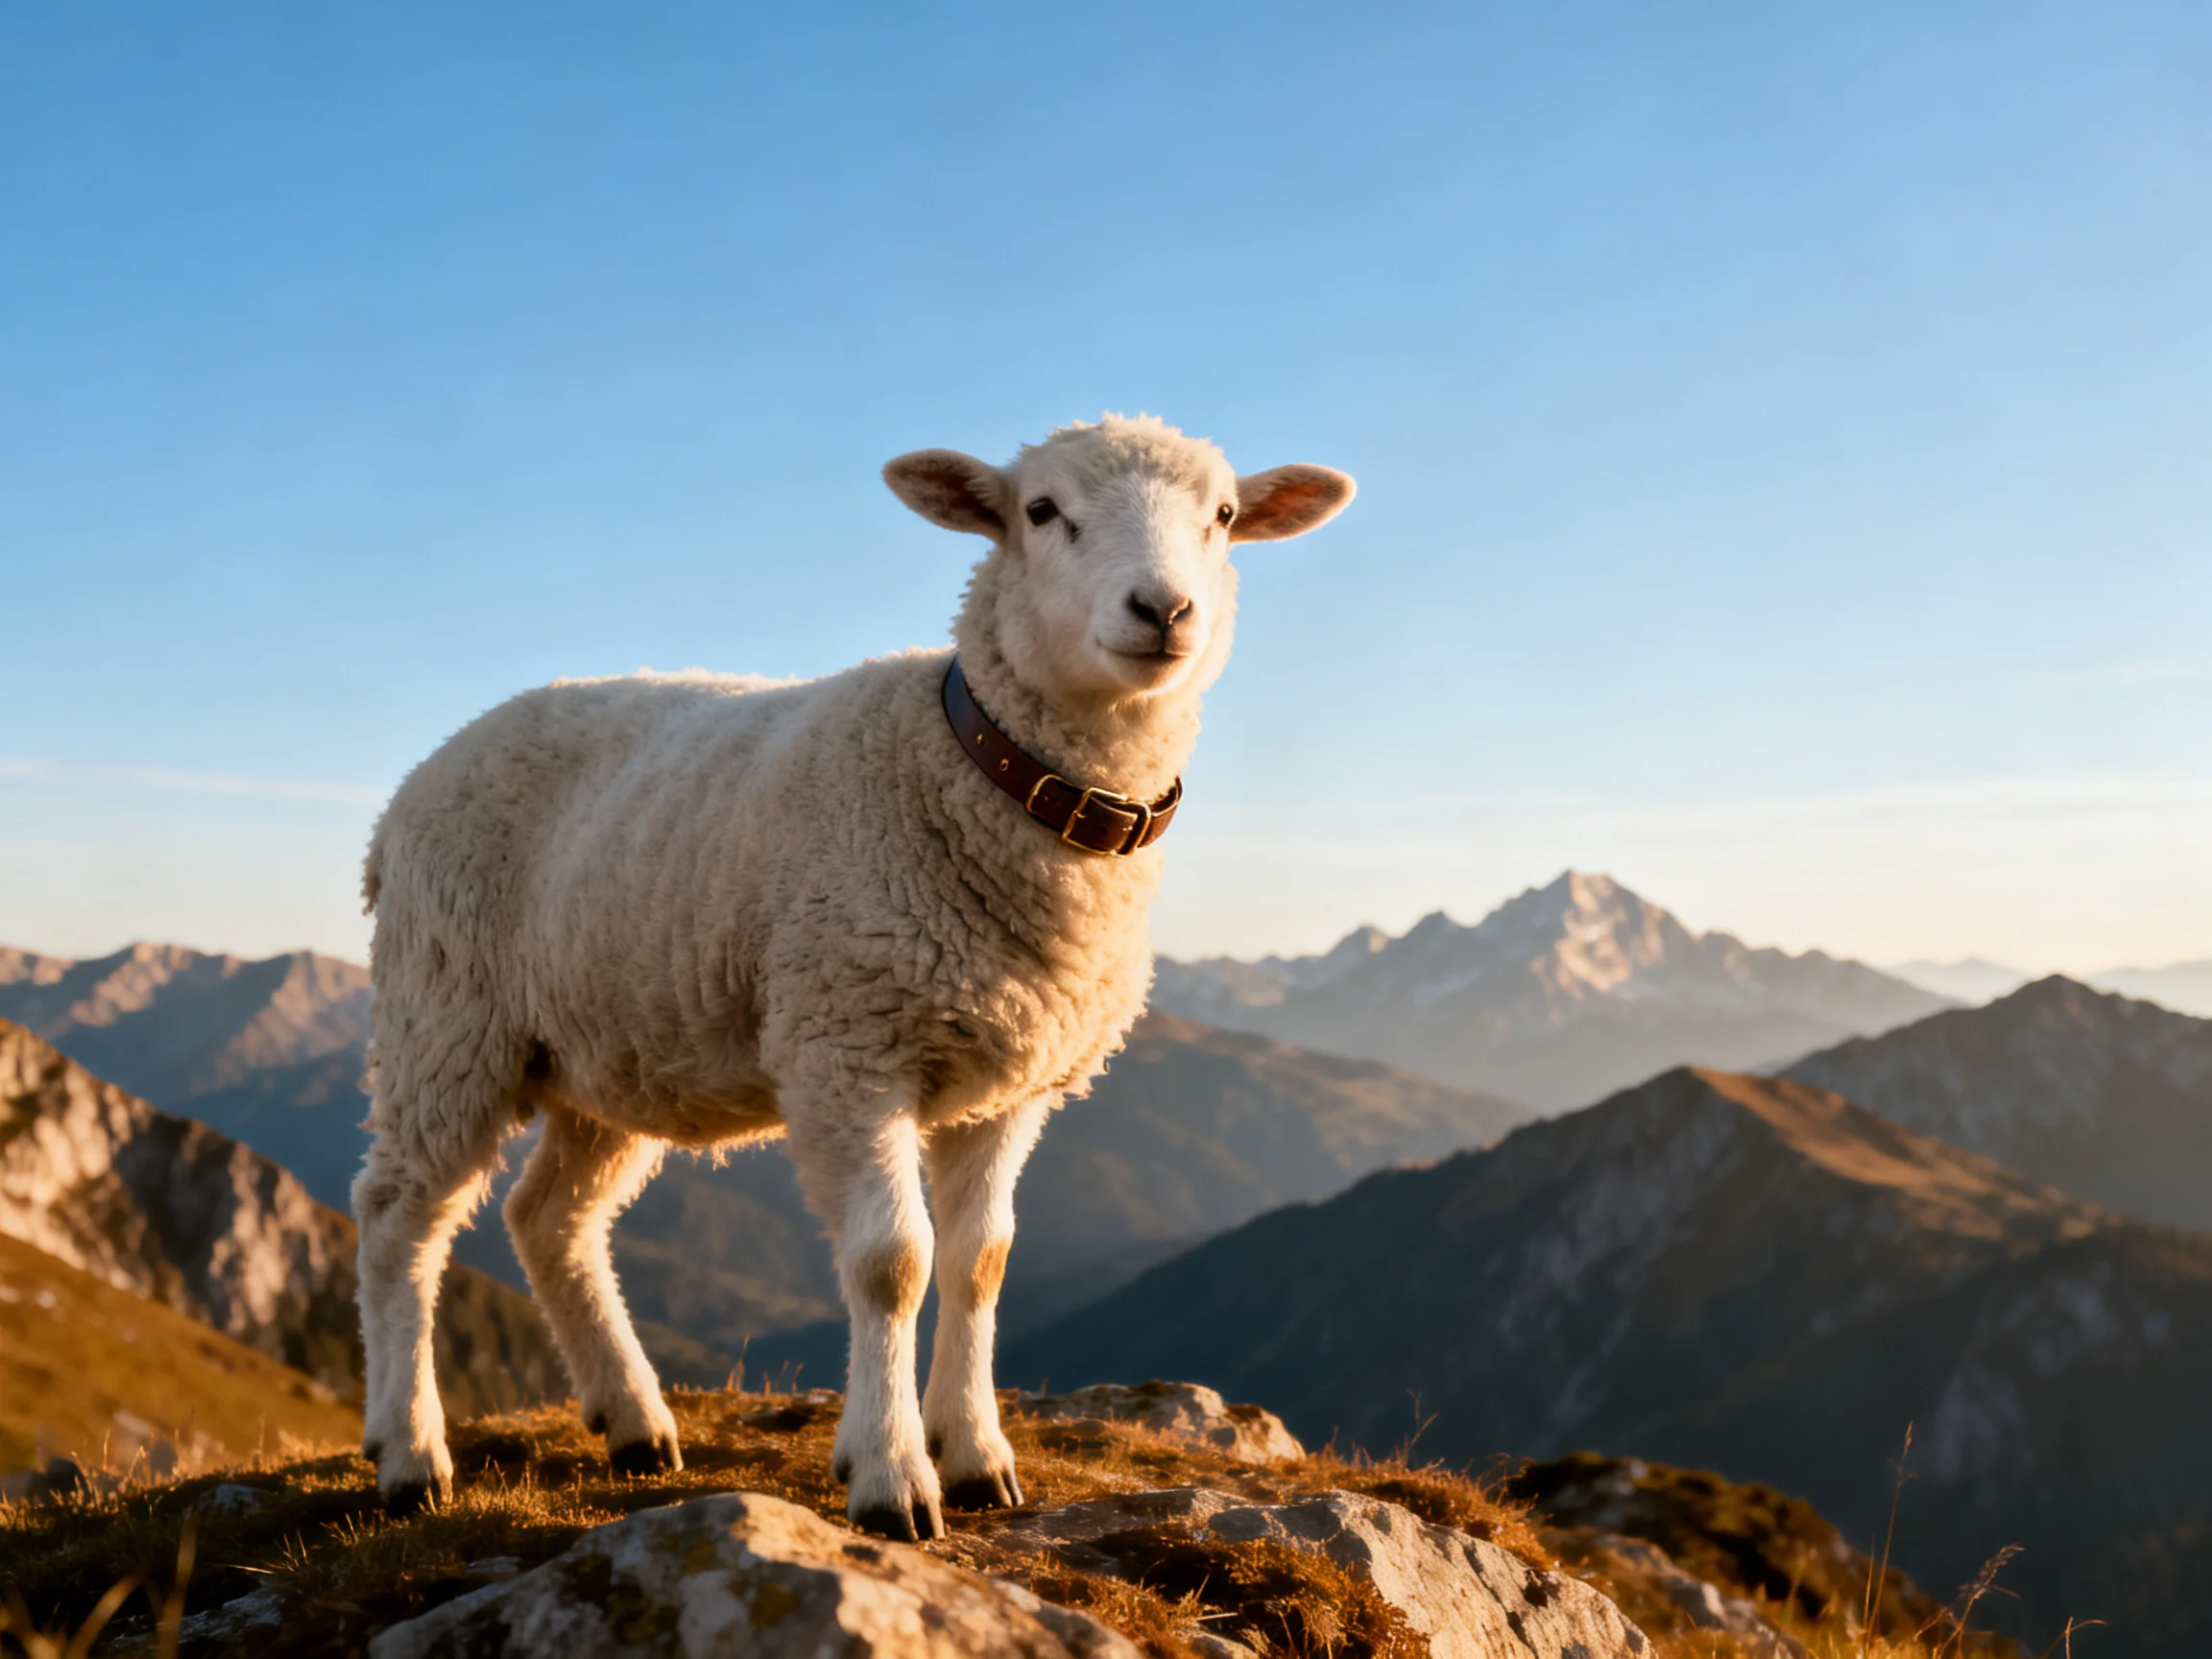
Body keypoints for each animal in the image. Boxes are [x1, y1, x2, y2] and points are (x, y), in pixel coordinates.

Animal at [351, 414, 1355, 1537]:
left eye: (1222, 516)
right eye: (1040, 510)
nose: (1165, 610)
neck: (983, 772)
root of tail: (408, 793)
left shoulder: (1011, 1081)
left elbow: (980, 1261)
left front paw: (978, 1458)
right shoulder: (848, 1047)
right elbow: (892, 1265)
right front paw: (893, 1479)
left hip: (607, 1052)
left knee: (550, 1220)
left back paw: (635, 1424)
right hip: (447, 1015)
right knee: (398, 1219)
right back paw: (410, 1455)